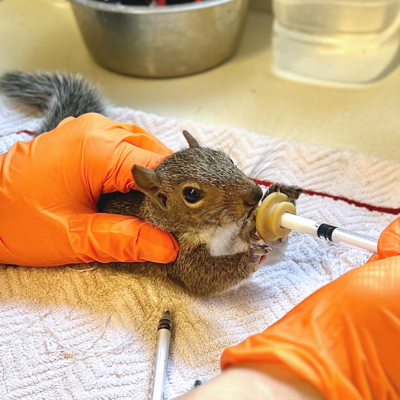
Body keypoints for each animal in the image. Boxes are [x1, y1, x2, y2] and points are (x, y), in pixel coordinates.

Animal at [0, 71, 302, 297]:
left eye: (224, 157)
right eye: (191, 194)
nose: (254, 194)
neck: (216, 229)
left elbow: (274, 251)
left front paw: (279, 199)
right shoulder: (180, 259)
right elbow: (205, 279)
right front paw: (249, 256)